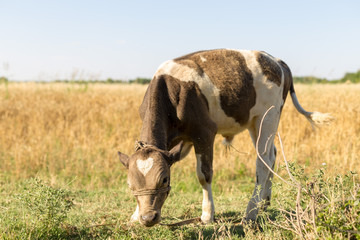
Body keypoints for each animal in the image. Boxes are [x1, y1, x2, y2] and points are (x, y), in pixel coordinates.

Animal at [118, 49, 332, 227]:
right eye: (129, 185)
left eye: (164, 180)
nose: (149, 218)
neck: (172, 90)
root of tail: (276, 60)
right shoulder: (177, 141)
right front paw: (135, 215)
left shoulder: (204, 132)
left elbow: (204, 174)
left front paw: (207, 215)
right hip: (255, 122)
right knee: (272, 154)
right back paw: (264, 203)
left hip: (269, 115)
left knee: (263, 161)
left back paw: (250, 213)